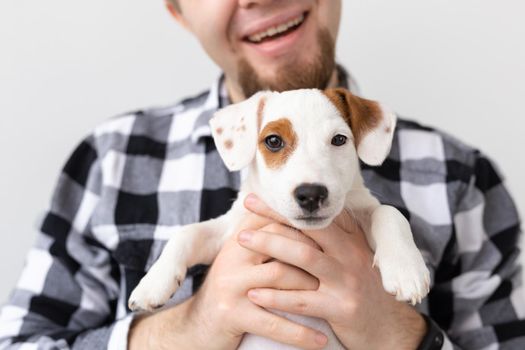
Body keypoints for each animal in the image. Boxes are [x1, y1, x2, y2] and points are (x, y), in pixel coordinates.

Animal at [128, 87, 430, 348]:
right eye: (273, 141)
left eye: (339, 140)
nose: (311, 194)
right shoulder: (231, 231)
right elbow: (186, 233)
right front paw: (152, 284)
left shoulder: (362, 208)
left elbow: (390, 213)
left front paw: (406, 269)